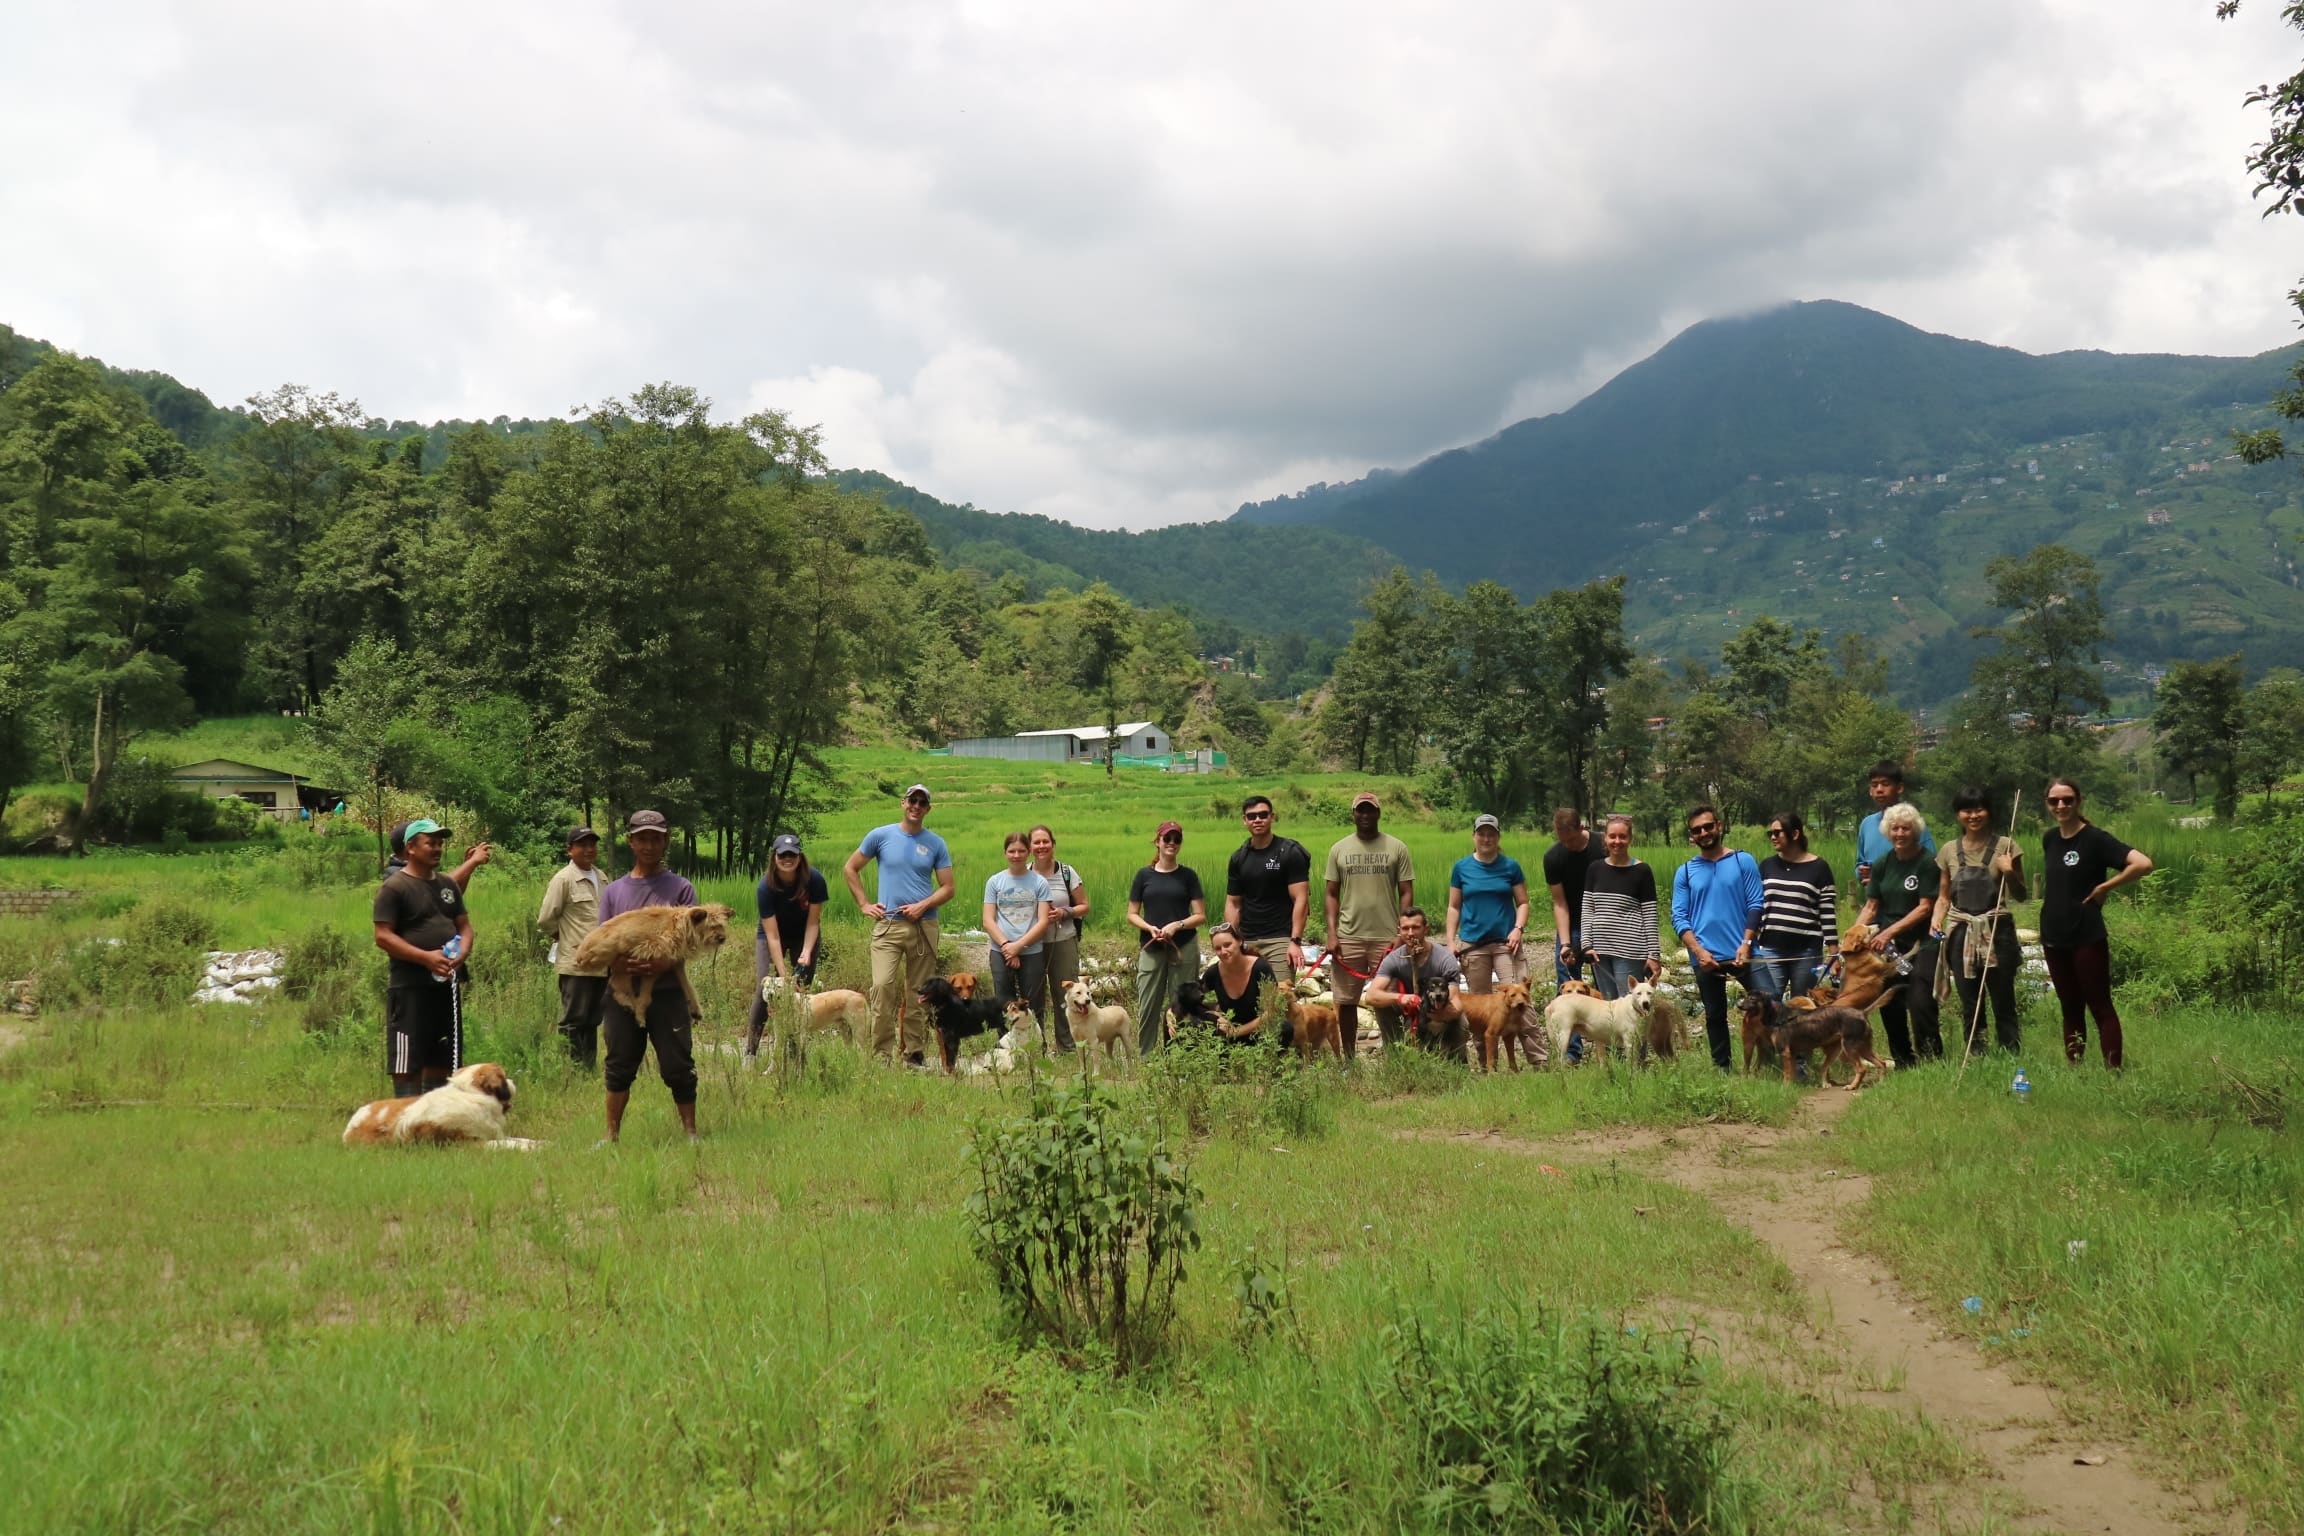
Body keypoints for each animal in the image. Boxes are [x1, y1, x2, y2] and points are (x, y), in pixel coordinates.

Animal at [340, 1063, 513, 1146]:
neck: (470, 1094)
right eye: (505, 1077)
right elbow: (506, 1144)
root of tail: (348, 1130)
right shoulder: (470, 1142)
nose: (512, 1080)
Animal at [566, 902, 728, 1022]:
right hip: (615, 947)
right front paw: (640, 1014)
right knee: (618, 982)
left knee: (617, 981)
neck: (681, 924)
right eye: (712, 926)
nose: (722, 938)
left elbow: (686, 984)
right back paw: (629, 1003)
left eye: (722, 925)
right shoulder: (652, 954)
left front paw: (695, 1009)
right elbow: (646, 992)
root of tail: (579, 953)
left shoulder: (676, 962)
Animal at [1741, 990, 1889, 1086]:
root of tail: (1861, 1012)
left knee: (1861, 1069)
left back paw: (1852, 1087)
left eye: (1752, 999)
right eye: (1746, 996)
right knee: (1882, 1063)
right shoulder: (1792, 1054)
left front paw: (1785, 1088)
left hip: (1849, 1048)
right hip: (1858, 1048)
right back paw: (1881, 1083)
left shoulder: (1785, 1052)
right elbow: (1792, 1074)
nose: (1739, 1004)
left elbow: (1787, 1074)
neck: (1776, 1015)